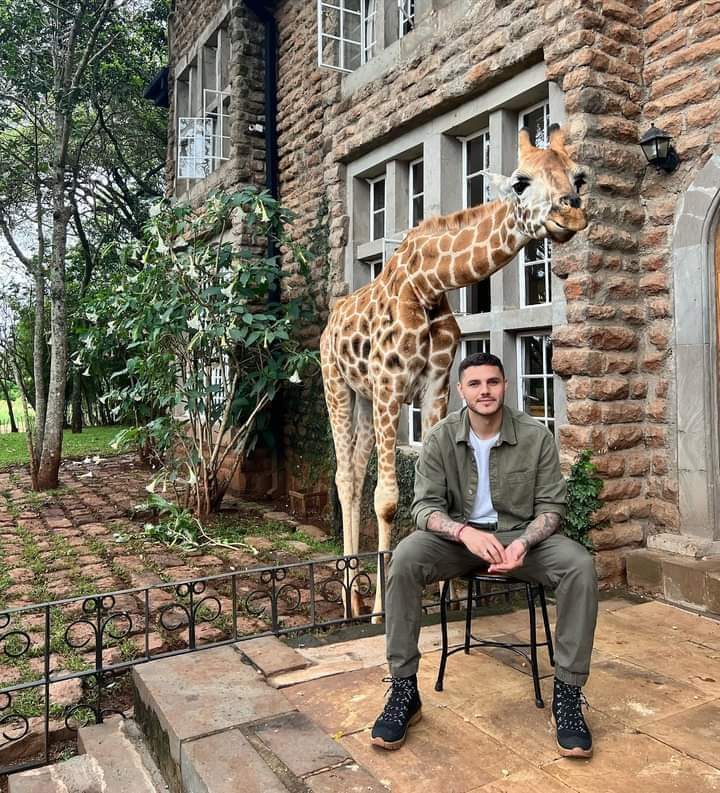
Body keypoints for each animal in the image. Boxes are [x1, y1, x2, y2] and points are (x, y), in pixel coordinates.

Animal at [320, 125, 588, 617]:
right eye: (520, 182)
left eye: (578, 177)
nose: (571, 212)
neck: (428, 285)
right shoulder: (390, 384)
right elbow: (388, 501)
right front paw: (384, 609)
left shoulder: (435, 385)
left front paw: (445, 597)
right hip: (338, 385)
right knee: (345, 476)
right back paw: (351, 601)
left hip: (365, 398)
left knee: (355, 472)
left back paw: (354, 595)